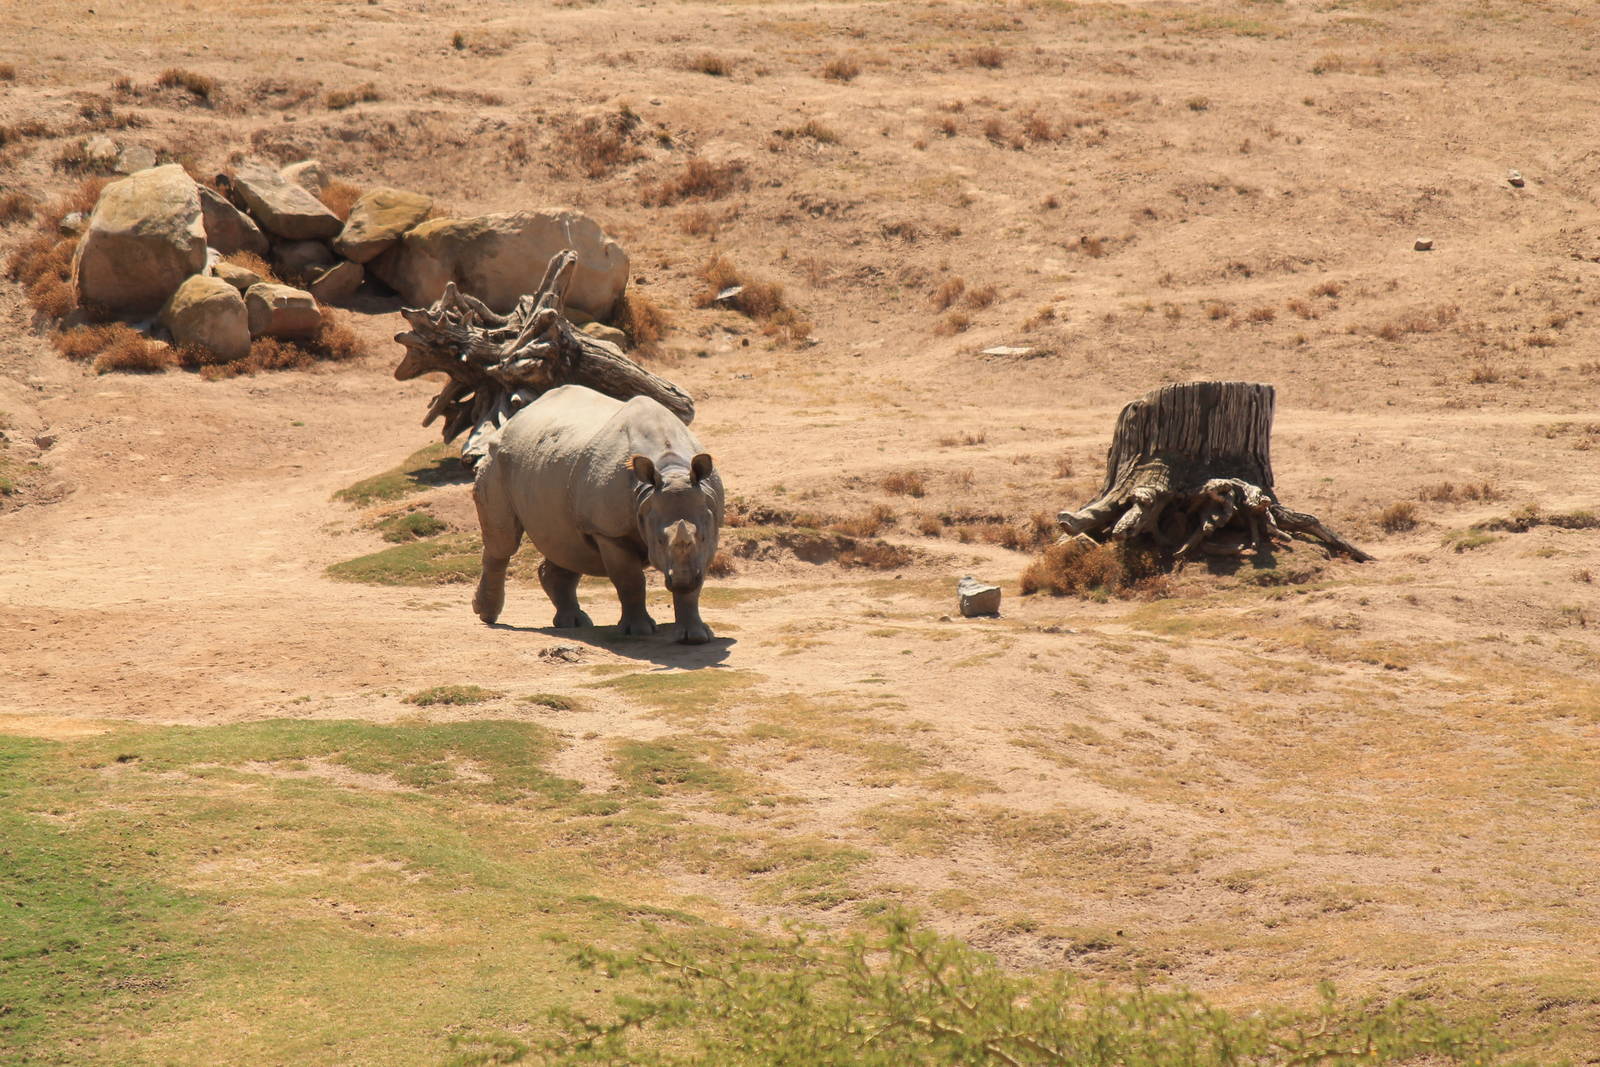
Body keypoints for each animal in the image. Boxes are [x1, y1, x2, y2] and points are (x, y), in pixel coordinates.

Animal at [470, 384, 724, 644]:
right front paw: (638, 631)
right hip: (497, 458)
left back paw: (573, 623)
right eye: (660, 540)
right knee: (504, 542)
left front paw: (695, 637)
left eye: (702, 537)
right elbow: (630, 579)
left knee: (568, 544)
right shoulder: (608, 532)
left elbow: (694, 587)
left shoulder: (711, 525)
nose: (682, 581)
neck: (671, 468)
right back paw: (487, 615)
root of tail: (517, 417)